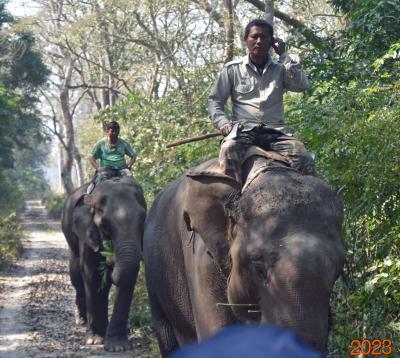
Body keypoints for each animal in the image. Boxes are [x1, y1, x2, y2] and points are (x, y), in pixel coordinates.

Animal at [61, 178, 145, 352]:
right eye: (104, 225)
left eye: (143, 219)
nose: (111, 260)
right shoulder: (87, 233)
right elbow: (92, 275)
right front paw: (94, 341)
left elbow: (129, 277)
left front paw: (118, 346)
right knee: (76, 277)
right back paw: (81, 320)